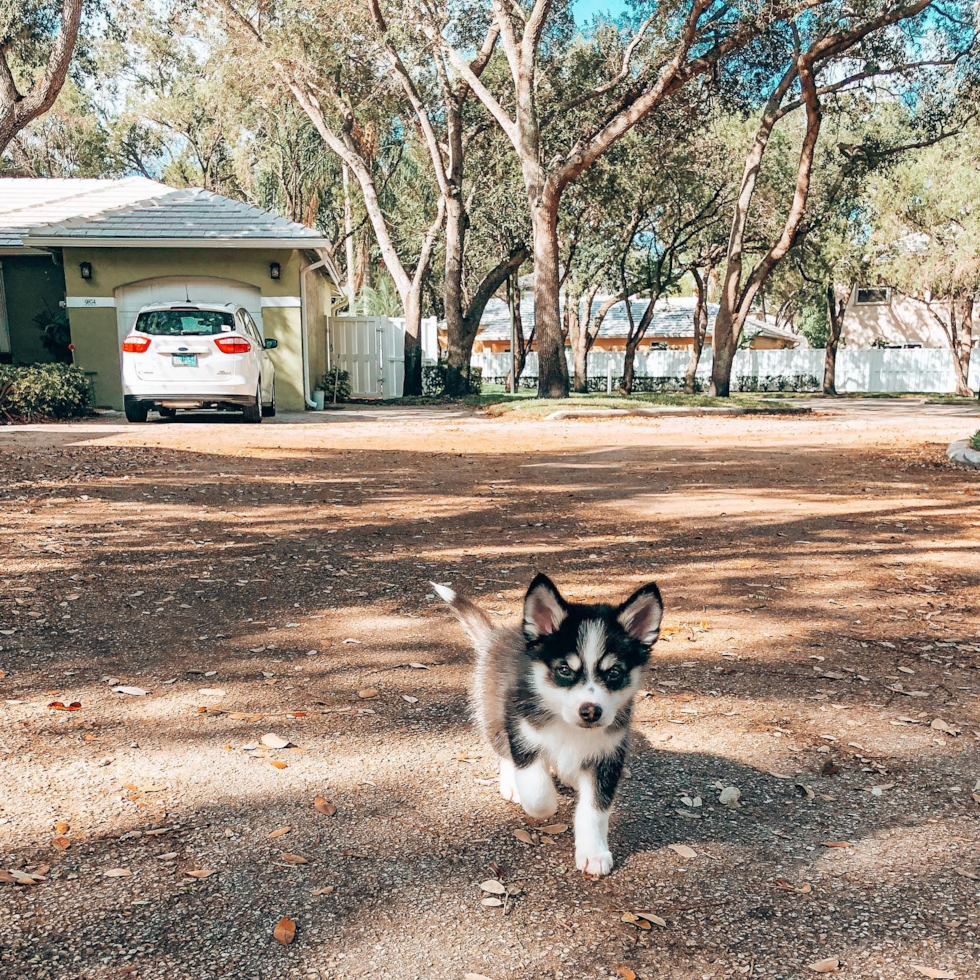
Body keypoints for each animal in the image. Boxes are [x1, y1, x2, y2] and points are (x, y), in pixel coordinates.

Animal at [432, 572, 664, 876]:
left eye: (614, 673)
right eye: (564, 670)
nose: (591, 711)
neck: (567, 725)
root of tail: (498, 636)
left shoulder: (607, 755)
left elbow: (594, 810)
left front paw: (593, 852)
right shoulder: (523, 732)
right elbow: (538, 792)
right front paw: (542, 802)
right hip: (493, 714)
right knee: (503, 750)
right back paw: (512, 783)